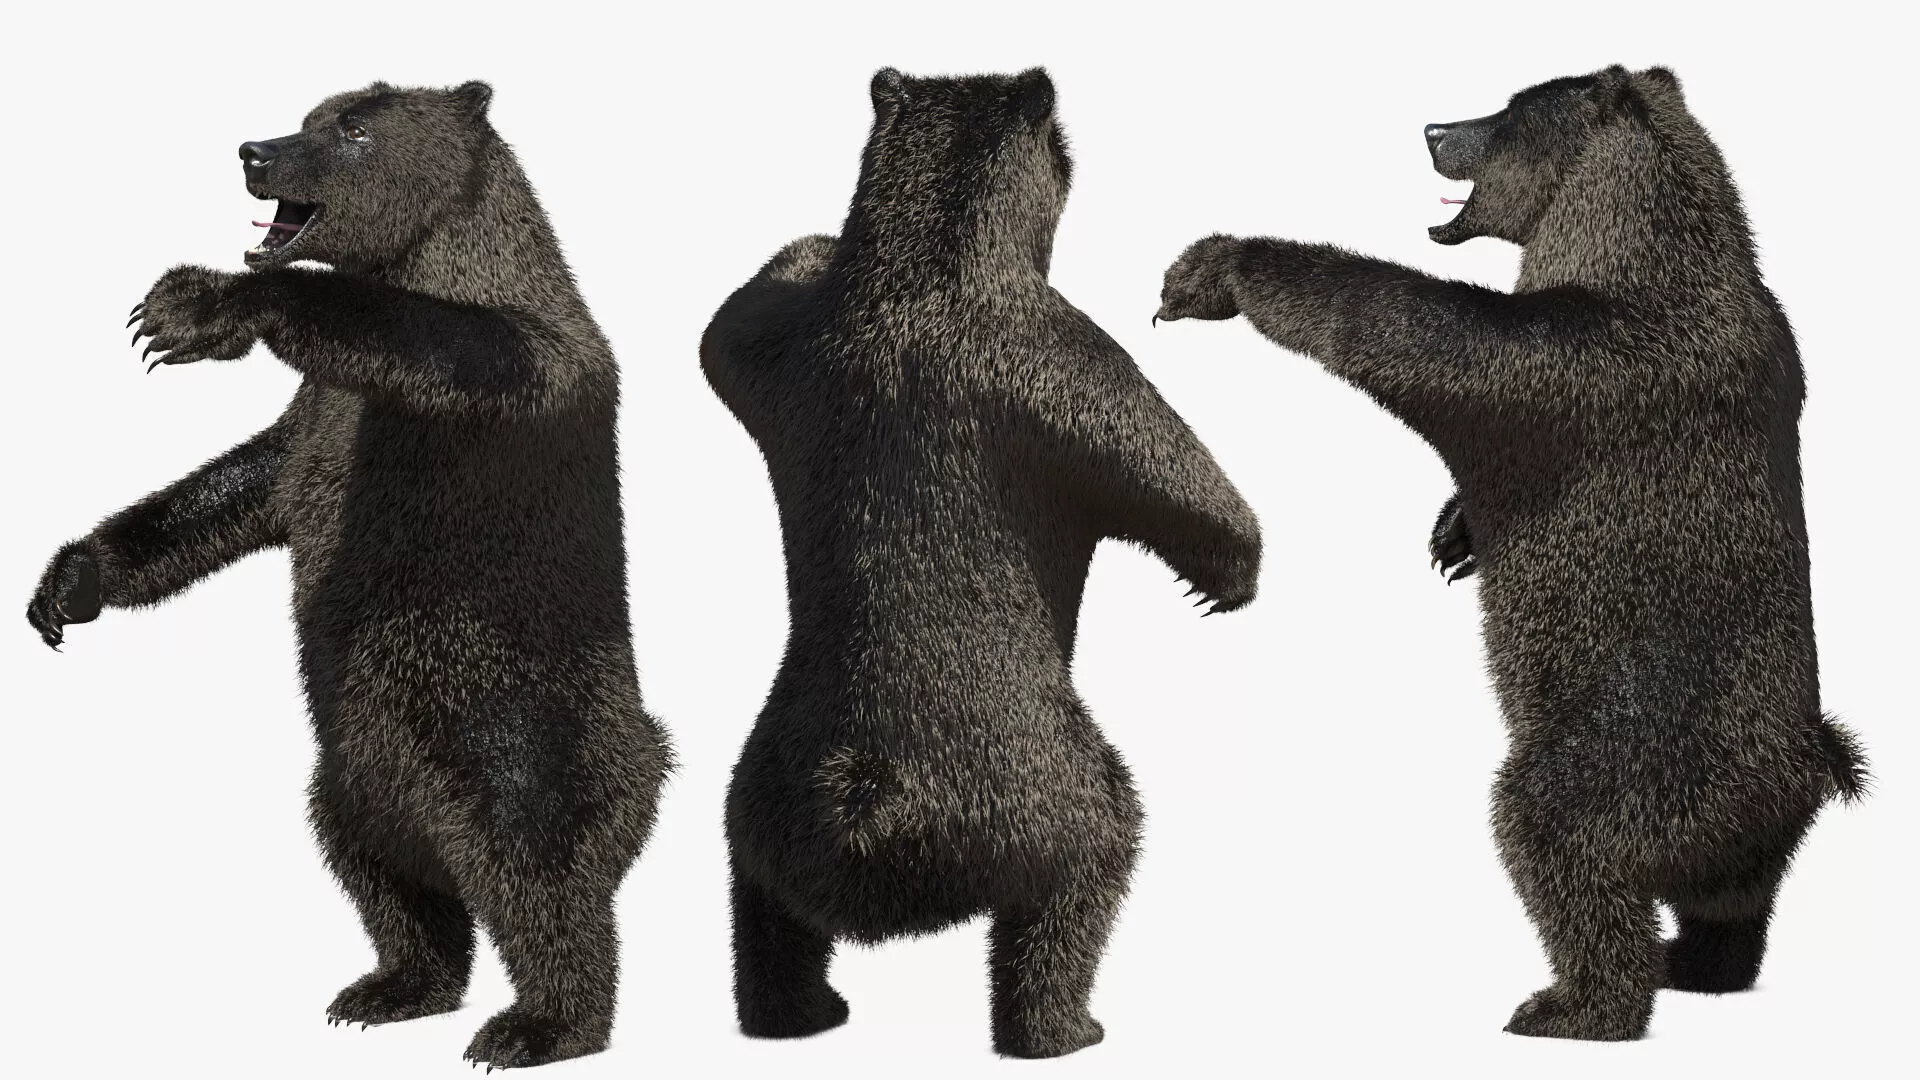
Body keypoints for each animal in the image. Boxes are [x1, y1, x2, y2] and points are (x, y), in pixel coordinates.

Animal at [26, 81, 670, 1069]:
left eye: (355, 128)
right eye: (306, 115)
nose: (253, 150)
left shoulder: (510, 375)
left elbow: (436, 343)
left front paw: (191, 306)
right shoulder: (315, 430)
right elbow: (240, 486)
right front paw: (70, 583)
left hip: (516, 735)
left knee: (540, 871)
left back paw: (539, 1025)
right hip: (360, 767)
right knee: (382, 875)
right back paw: (391, 987)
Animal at [701, 68, 1262, 1058]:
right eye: (1064, 144)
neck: (922, 268)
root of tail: (875, 803)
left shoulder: (785, 355)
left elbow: (727, 326)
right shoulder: (1058, 353)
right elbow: (1163, 462)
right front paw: (1229, 576)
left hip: (761, 800)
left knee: (765, 915)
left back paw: (796, 1016)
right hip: (1038, 779)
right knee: (1087, 869)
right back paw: (1068, 1026)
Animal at [1156, 65, 1865, 1041]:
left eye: (1507, 109)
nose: (1432, 128)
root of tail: (1811, 769)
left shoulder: (1598, 367)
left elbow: (1439, 337)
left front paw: (1217, 267)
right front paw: (1451, 538)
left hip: (1639, 749)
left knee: (1557, 834)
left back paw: (1572, 1003)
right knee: (1733, 901)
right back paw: (1700, 964)